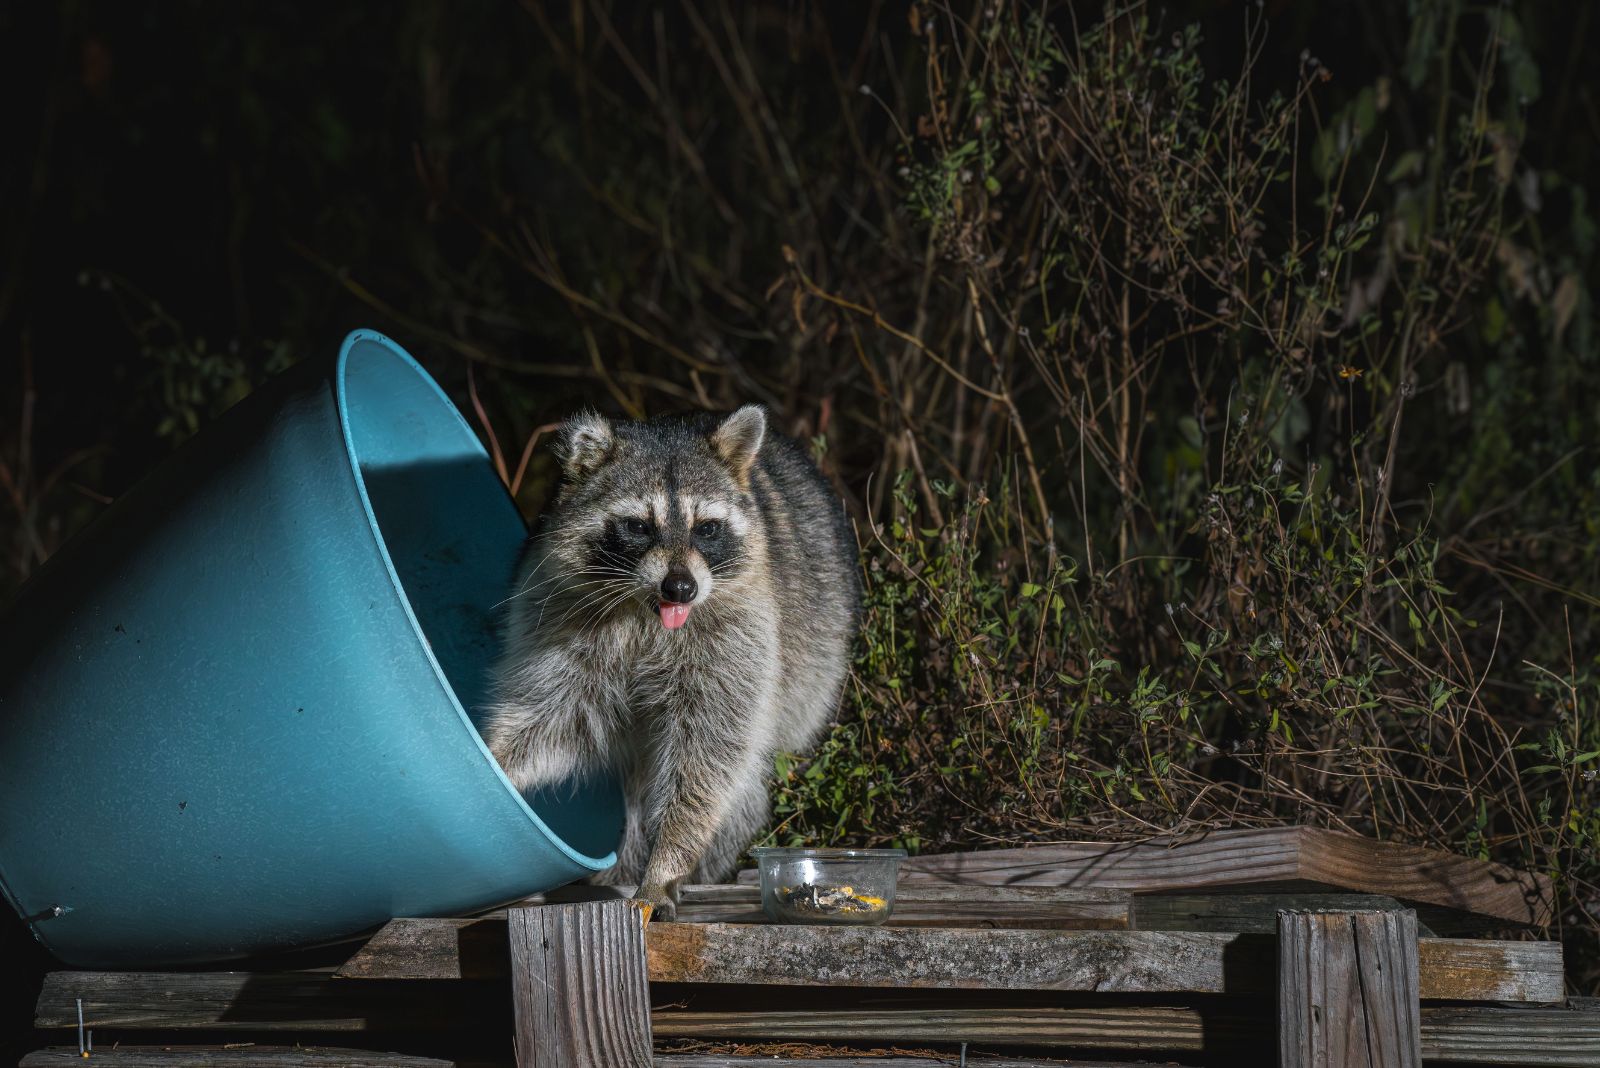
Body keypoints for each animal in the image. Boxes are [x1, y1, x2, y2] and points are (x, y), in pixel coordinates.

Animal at [481, 405, 860, 918]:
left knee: (745, 779)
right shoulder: (559, 619)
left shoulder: (739, 633)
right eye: (639, 526)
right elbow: (552, 715)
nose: (680, 588)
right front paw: (493, 762)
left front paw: (667, 864)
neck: (646, 611)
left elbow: (708, 753)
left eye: (707, 528)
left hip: (817, 662)